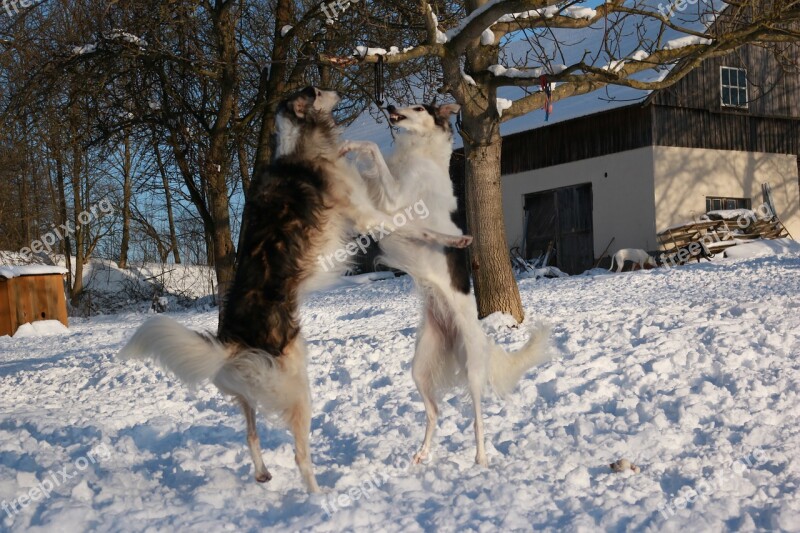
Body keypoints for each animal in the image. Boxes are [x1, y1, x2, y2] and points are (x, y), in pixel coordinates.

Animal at [117, 86, 468, 490]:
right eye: (315, 90)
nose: (338, 90)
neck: (301, 146)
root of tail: (231, 344)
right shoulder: (367, 215)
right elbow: (420, 228)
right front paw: (457, 239)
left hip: (248, 393)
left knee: (251, 434)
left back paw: (263, 472)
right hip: (298, 390)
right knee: (301, 457)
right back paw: (317, 496)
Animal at [340, 101, 552, 466]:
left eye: (418, 106)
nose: (390, 105)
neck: (420, 151)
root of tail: (479, 337)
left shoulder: (394, 200)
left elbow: (373, 151)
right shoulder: (380, 201)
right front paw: (343, 150)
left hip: (472, 373)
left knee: (478, 419)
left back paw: (481, 458)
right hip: (420, 368)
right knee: (434, 412)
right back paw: (423, 453)